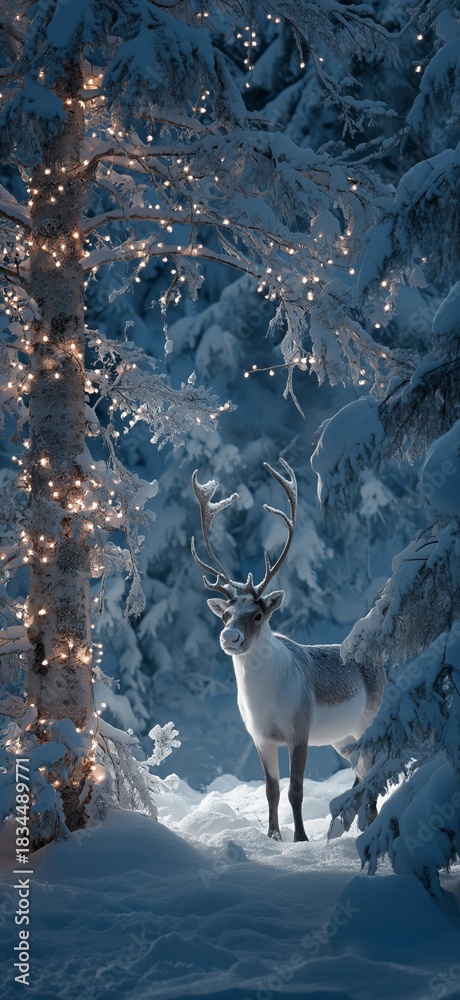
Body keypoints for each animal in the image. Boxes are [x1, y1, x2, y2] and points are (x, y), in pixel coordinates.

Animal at [191, 459, 386, 843]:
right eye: (225, 614)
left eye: (257, 614)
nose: (229, 637)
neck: (263, 699)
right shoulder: (261, 737)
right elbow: (272, 790)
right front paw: (272, 836)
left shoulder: (300, 728)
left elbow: (296, 788)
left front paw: (301, 838)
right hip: (343, 737)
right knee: (360, 771)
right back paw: (348, 826)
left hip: (369, 722)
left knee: (374, 768)